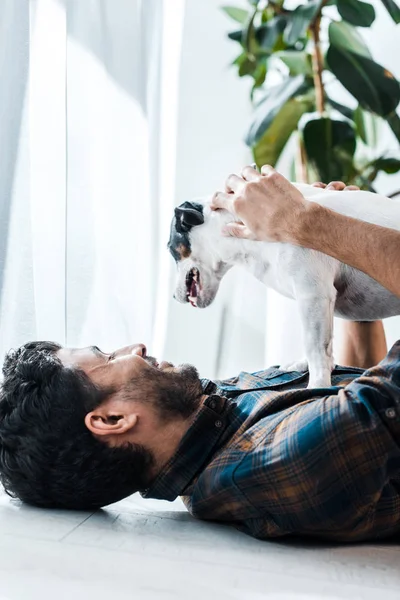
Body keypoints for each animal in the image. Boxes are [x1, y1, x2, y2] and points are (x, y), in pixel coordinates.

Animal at [168, 183, 400, 386]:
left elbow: (315, 347)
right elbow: (320, 345)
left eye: (170, 248)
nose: (172, 297)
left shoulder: (313, 295)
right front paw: (305, 365)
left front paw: (317, 384)